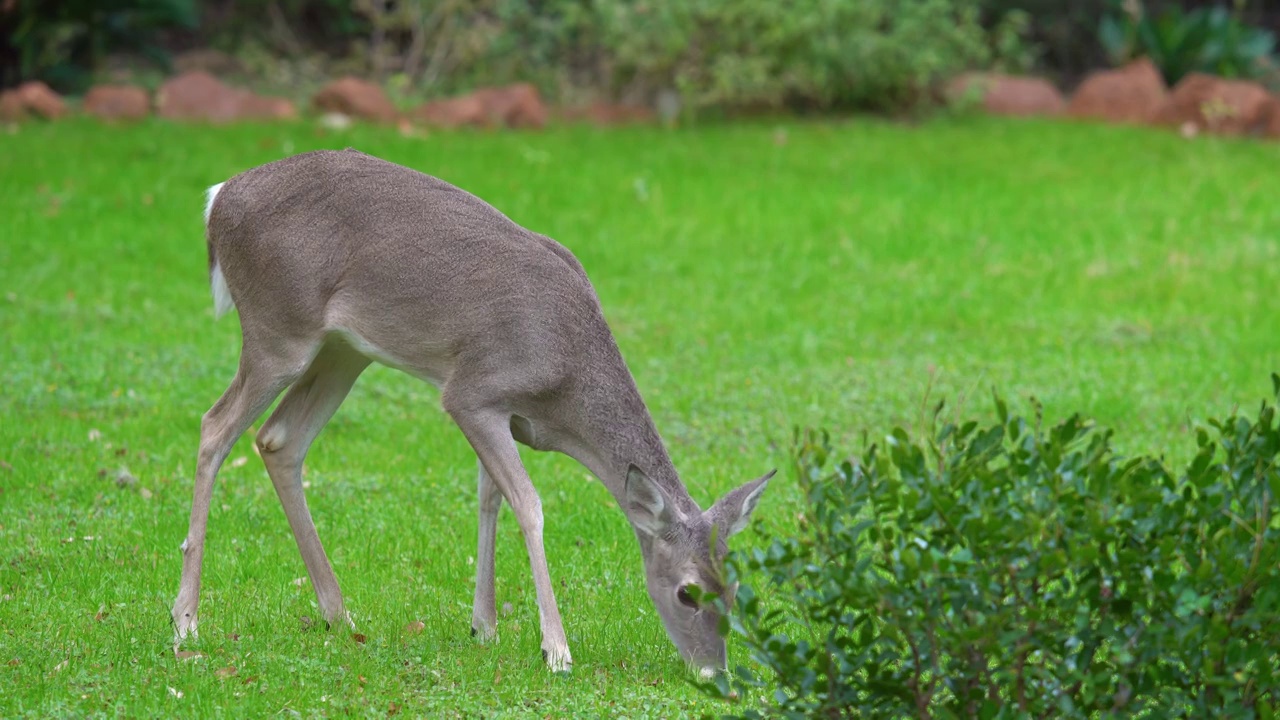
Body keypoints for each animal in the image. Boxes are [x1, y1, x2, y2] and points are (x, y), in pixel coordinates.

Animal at [168, 146, 768, 671]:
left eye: (736, 589)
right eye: (687, 593)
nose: (714, 669)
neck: (564, 386)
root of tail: (218, 199)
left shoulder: (500, 411)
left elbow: (490, 499)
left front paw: (484, 626)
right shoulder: (471, 391)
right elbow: (528, 503)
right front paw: (556, 649)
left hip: (343, 350)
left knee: (279, 439)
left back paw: (338, 615)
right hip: (278, 329)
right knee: (214, 426)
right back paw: (186, 620)